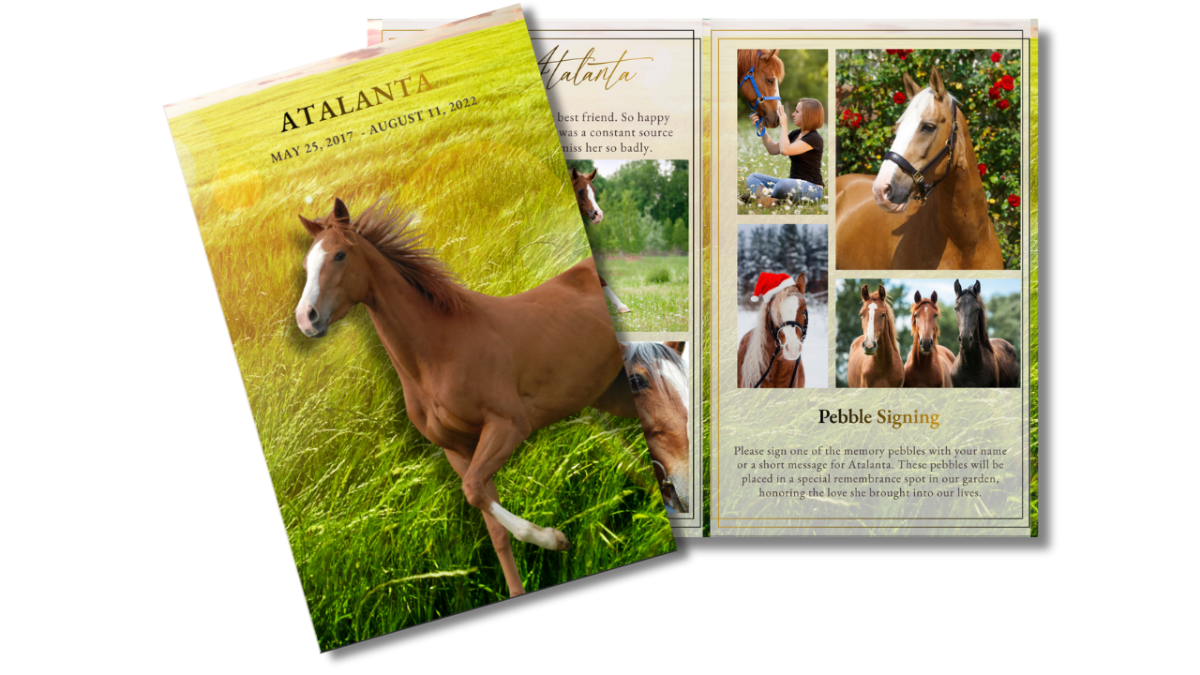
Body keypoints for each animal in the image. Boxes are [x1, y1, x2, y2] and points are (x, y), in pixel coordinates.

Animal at [293, 197, 642, 597]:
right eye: (306, 264)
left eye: (339, 255)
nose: (306, 318)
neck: (440, 351)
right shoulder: (458, 450)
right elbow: (490, 522)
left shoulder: (508, 425)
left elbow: (474, 491)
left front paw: (554, 538)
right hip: (615, 393)